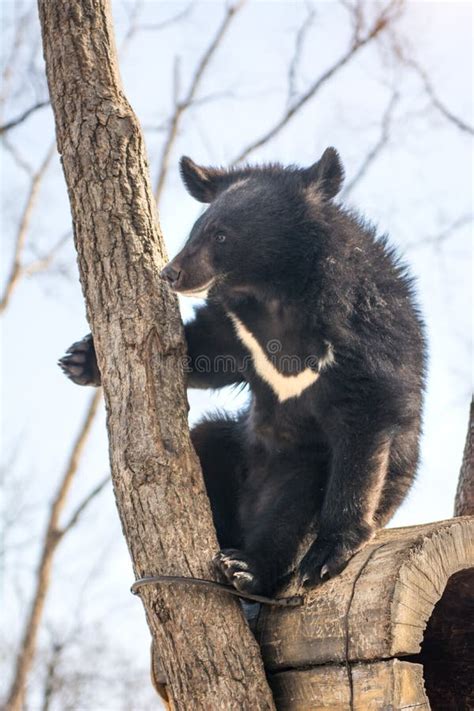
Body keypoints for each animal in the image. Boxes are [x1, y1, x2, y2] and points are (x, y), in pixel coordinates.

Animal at [59, 147, 426, 597]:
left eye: (221, 235)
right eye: (196, 229)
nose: (171, 272)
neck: (277, 293)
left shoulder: (363, 341)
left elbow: (364, 439)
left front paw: (326, 557)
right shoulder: (238, 331)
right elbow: (202, 352)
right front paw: (79, 358)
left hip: (300, 471)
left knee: (292, 519)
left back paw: (248, 568)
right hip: (232, 442)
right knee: (206, 441)